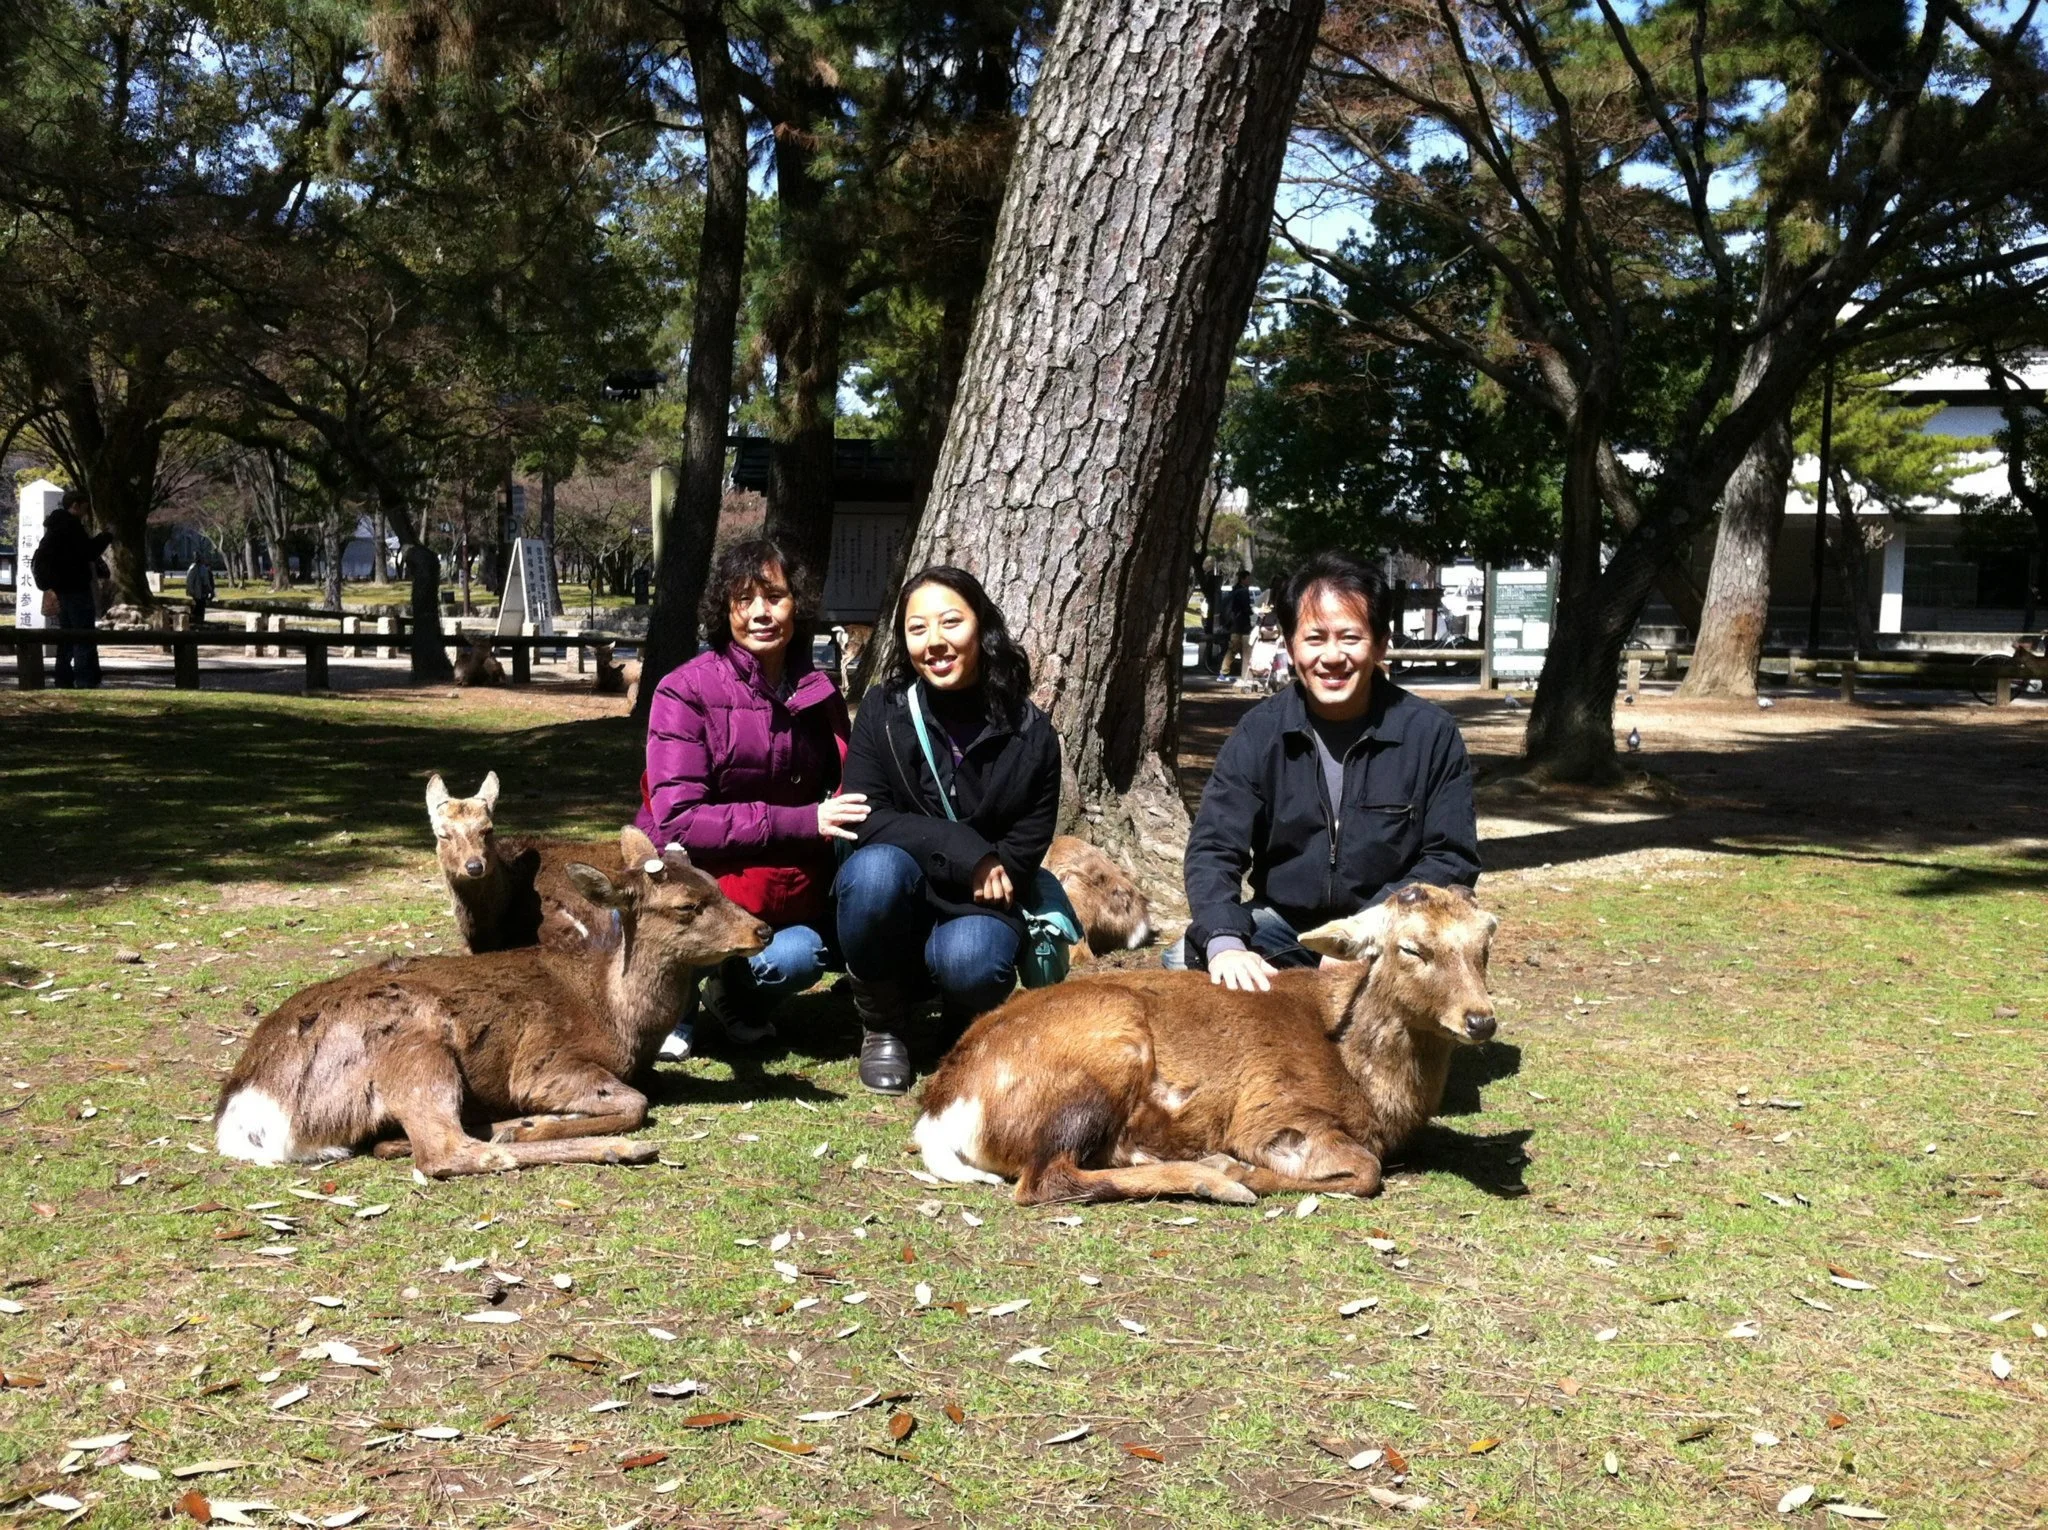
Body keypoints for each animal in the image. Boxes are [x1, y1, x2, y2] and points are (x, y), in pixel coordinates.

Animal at [214, 828, 772, 1177]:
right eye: (687, 906)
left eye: (717, 885)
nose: (762, 929)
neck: (620, 1019)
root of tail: (251, 1111)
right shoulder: (545, 1062)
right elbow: (636, 1102)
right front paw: (552, 1123)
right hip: (414, 1046)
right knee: (444, 1151)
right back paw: (608, 1146)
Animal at [912, 882, 1499, 1204]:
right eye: (1411, 947)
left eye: (1483, 944)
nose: (1481, 1020)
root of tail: (943, 1110)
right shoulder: (1273, 1112)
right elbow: (1366, 1171)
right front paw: (1238, 1169)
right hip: (1109, 1050)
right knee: (1043, 1181)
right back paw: (1213, 1178)